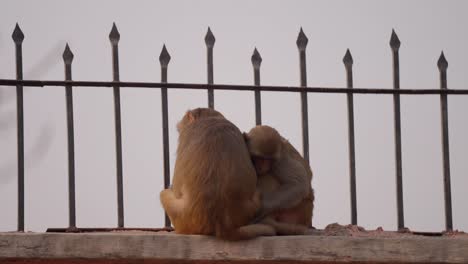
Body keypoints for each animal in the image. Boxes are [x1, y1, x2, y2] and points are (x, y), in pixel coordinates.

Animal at [159, 108, 276, 240]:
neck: (210, 118)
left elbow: (176, 187)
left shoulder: (186, 137)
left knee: (163, 194)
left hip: (183, 217)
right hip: (252, 207)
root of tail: (222, 223)